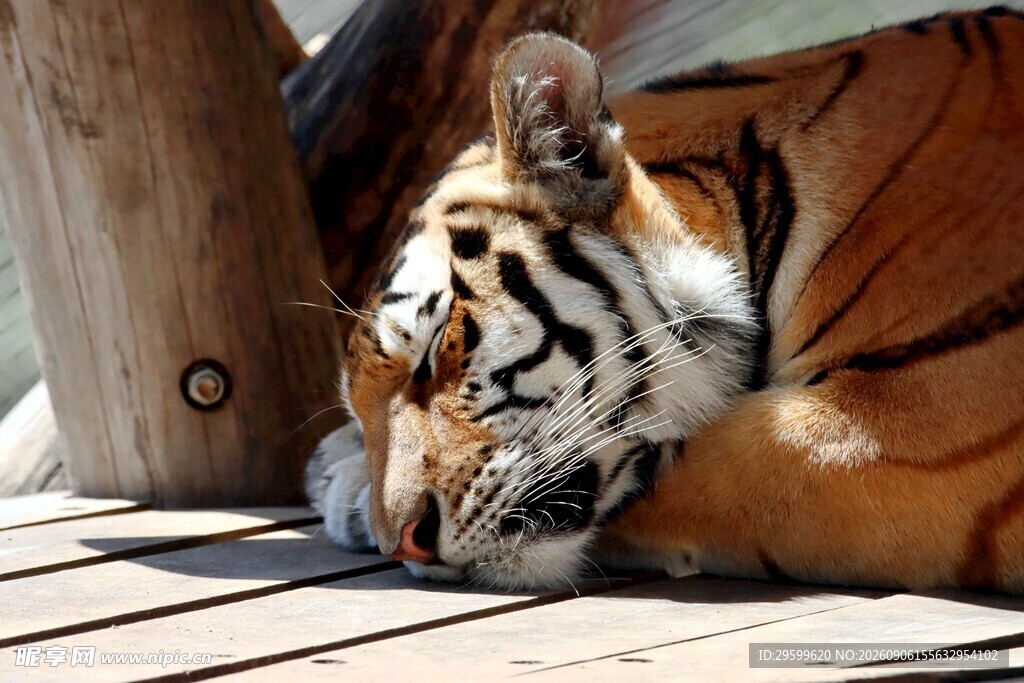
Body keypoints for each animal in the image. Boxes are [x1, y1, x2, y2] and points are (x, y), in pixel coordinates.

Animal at [305, 7, 1024, 594]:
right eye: (360, 406)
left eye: (432, 351)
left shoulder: (906, 428)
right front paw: (342, 467)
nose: (403, 542)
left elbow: (687, 469)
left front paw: (340, 480)